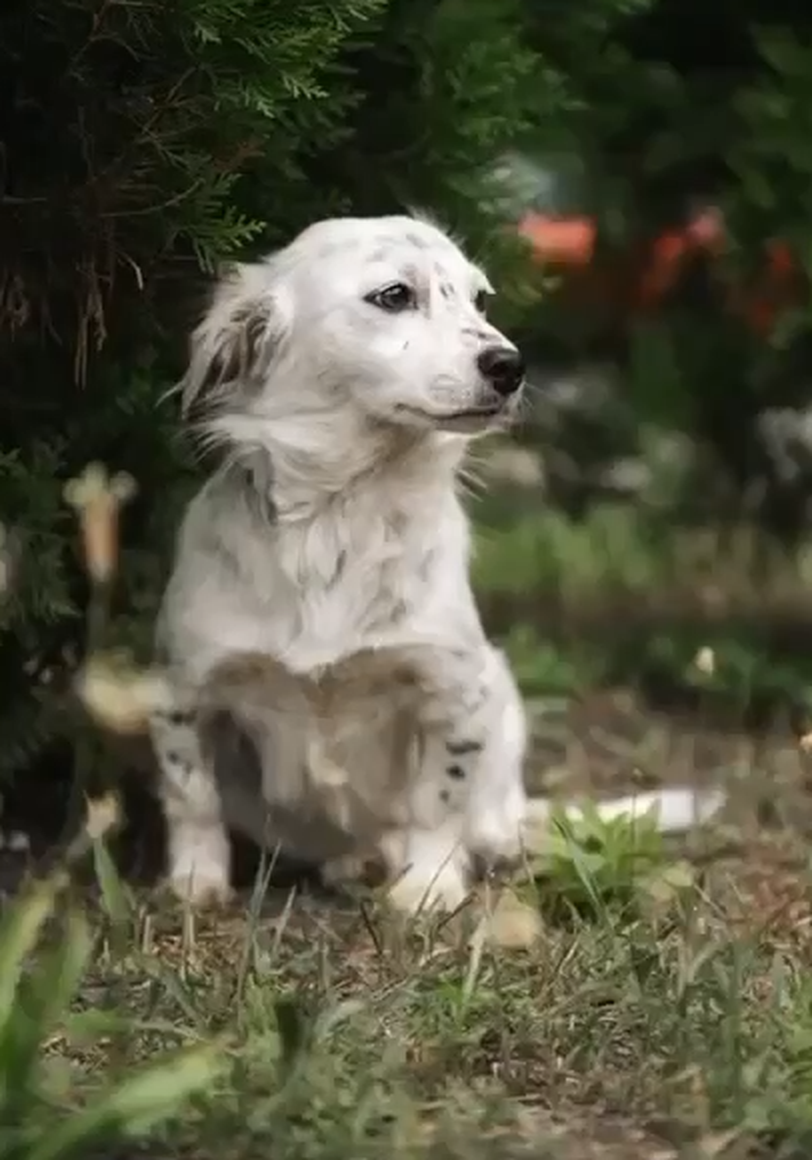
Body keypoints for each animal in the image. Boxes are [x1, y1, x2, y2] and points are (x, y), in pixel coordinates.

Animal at [149, 213, 719, 909]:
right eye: (394, 295)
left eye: (481, 301)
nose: (511, 365)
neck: (342, 515)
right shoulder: (182, 689)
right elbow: (192, 795)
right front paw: (195, 881)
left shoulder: (455, 691)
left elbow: (438, 800)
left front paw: (429, 886)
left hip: (501, 697)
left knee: (487, 823)